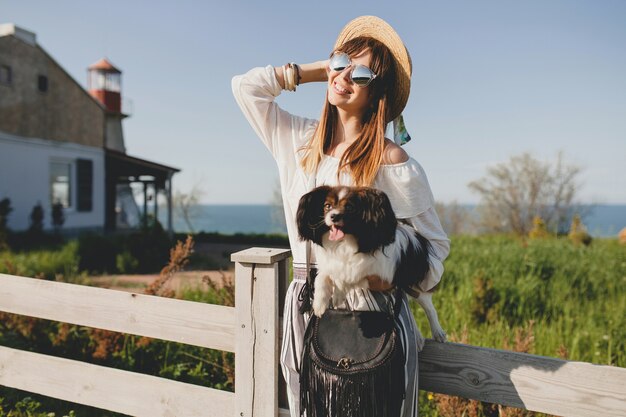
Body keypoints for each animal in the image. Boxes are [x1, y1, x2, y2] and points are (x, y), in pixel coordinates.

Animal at [296, 185, 446, 344]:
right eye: (327, 206)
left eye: (349, 207)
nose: (334, 216)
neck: (345, 242)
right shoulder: (330, 264)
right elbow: (322, 277)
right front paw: (320, 303)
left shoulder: (377, 272)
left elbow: (348, 276)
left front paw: (338, 293)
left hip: (415, 284)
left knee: (428, 306)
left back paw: (438, 332)